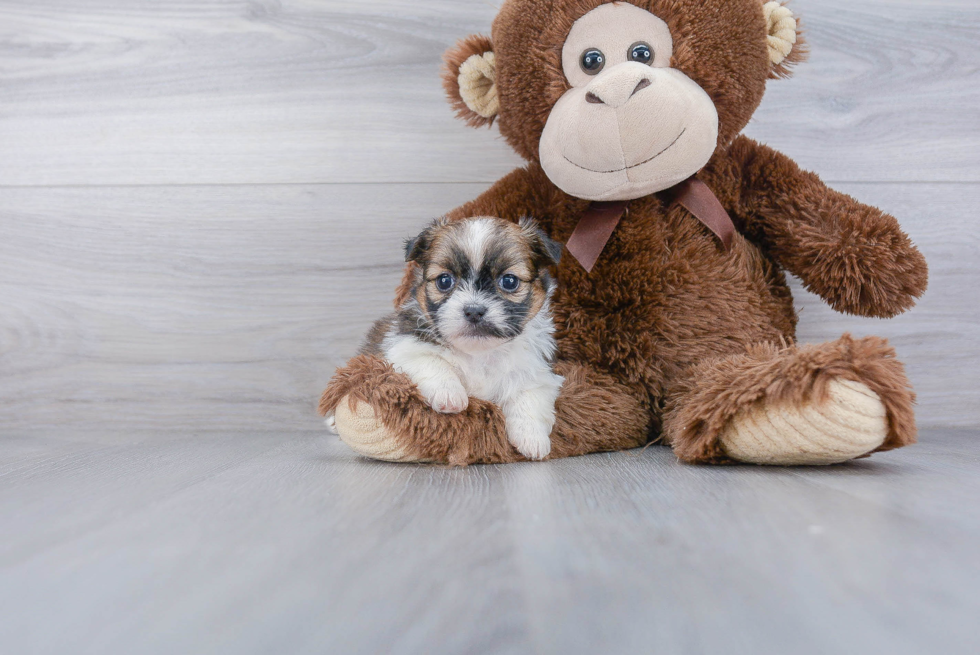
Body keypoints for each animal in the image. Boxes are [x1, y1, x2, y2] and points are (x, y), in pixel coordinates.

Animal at [326, 217, 564, 462]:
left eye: (509, 281)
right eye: (444, 281)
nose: (474, 311)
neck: (478, 352)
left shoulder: (537, 372)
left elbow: (530, 399)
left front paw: (532, 438)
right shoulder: (404, 346)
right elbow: (433, 363)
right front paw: (450, 395)